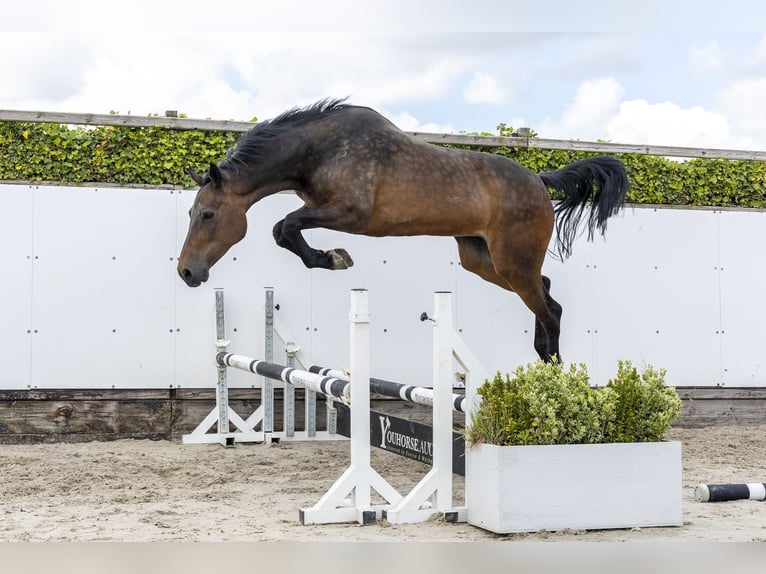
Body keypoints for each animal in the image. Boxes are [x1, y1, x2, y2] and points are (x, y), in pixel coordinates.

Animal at [178, 99, 629, 362]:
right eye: (192, 212)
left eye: (208, 215)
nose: (186, 271)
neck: (321, 150)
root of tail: (538, 180)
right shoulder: (322, 209)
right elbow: (281, 229)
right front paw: (330, 258)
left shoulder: (351, 213)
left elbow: (286, 224)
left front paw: (334, 258)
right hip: (483, 261)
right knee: (546, 292)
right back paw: (541, 359)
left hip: (511, 262)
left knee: (550, 309)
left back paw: (554, 372)